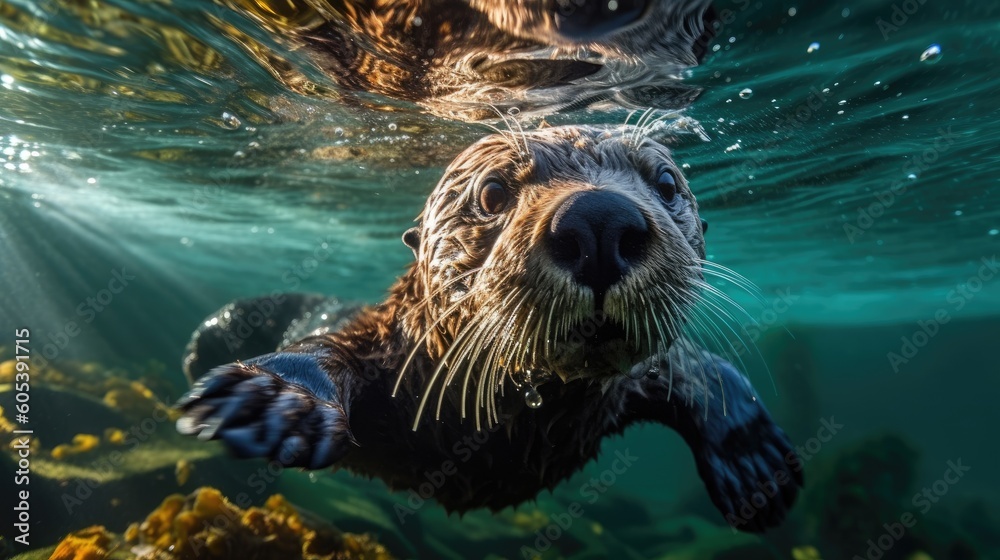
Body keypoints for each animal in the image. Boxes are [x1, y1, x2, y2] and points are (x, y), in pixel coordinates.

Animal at [176, 125, 801, 532]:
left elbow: (688, 365)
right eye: (493, 192)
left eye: (667, 184)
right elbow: (328, 346)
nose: (600, 217)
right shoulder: (383, 347)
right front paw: (274, 399)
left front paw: (753, 463)